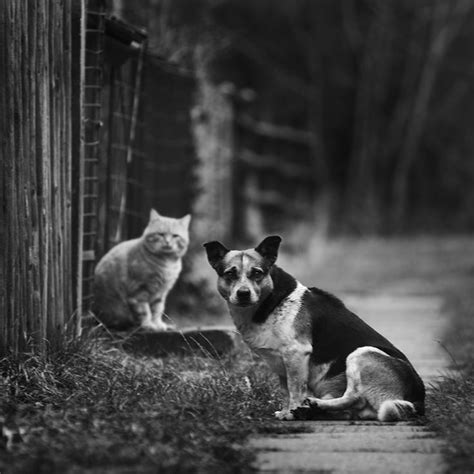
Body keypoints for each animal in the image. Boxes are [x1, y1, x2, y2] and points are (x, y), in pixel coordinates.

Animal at [204, 237, 426, 422]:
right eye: (230, 274)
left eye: (257, 273)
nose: (243, 293)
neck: (271, 303)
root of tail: (419, 400)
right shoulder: (281, 363)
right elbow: (286, 391)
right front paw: (286, 411)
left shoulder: (296, 353)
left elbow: (295, 389)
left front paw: (291, 413)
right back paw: (314, 409)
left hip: (362, 353)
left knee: (354, 396)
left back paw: (314, 406)